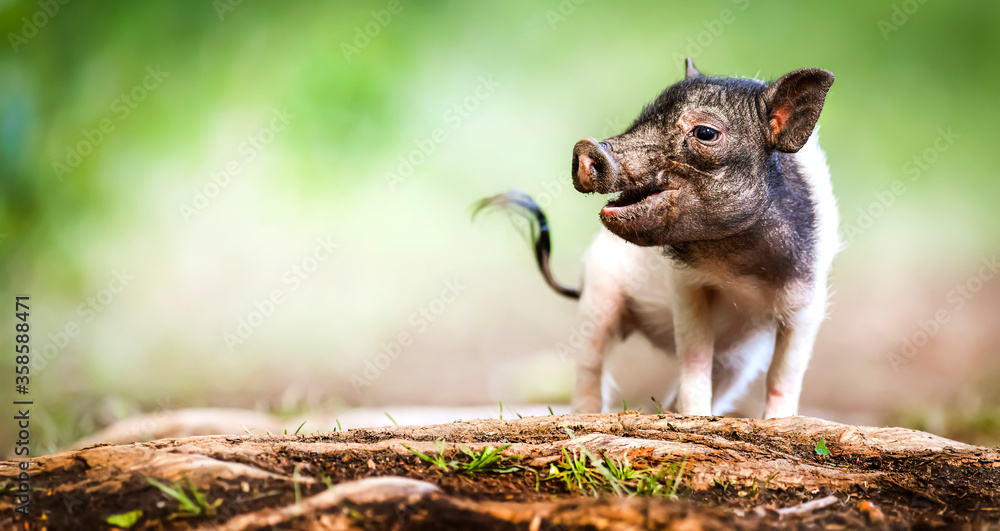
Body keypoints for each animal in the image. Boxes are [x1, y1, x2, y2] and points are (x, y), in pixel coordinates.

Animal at [476, 59, 837, 418]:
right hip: (598, 290)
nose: (585, 146)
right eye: (642, 119)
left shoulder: (808, 302)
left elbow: (784, 374)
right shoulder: (687, 285)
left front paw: (779, 421)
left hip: (737, 362)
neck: (740, 273)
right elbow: (694, 361)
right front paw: (696, 417)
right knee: (590, 365)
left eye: (706, 132)